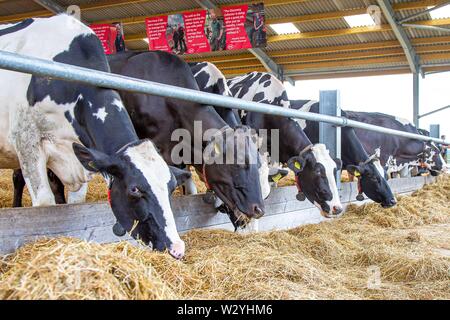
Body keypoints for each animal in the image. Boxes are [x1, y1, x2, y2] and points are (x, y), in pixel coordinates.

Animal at [0, 16, 188, 258]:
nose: (177, 248)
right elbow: (44, 204)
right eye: (134, 189)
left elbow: (75, 203)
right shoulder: (26, 143)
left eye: (171, 187)